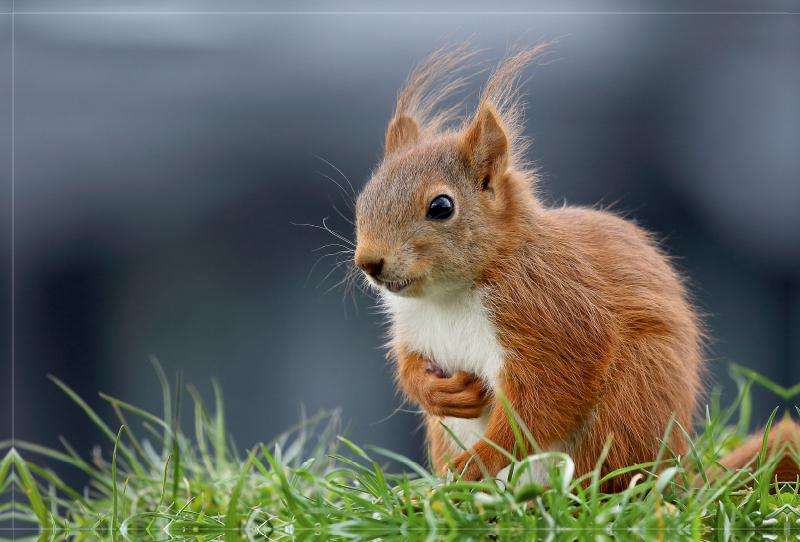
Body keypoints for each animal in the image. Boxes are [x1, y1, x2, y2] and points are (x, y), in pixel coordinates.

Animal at [354, 44, 704, 496]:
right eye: (364, 198)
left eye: (441, 207)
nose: (368, 261)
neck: (449, 295)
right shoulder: (415, 329)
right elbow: (408, 366)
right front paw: (435, 392)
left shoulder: (551, 313)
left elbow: (545, 397)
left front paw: (476, 462)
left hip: (633, 401)